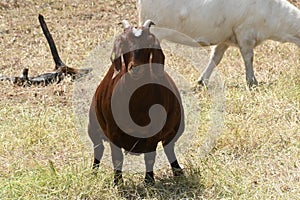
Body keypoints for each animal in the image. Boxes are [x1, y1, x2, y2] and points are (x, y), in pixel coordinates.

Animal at [88, 19, 184, 185]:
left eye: (149, 43)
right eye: (124, 43)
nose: (136, 68)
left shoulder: (153, 134)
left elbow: (150, 157)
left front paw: (149, 181)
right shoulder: (112, 132)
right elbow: (117, 158)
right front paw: (118, 182)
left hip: (177, 128)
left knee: (169, 147)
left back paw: (178, 171)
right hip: (92, 128)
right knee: (98, 149)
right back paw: (93, 174)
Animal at [138, 0, 300, 87]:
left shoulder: (225, 39)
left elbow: (216, 58)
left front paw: (203, 80)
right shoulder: (245, 33)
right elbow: (249, 58)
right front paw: (252, 82)